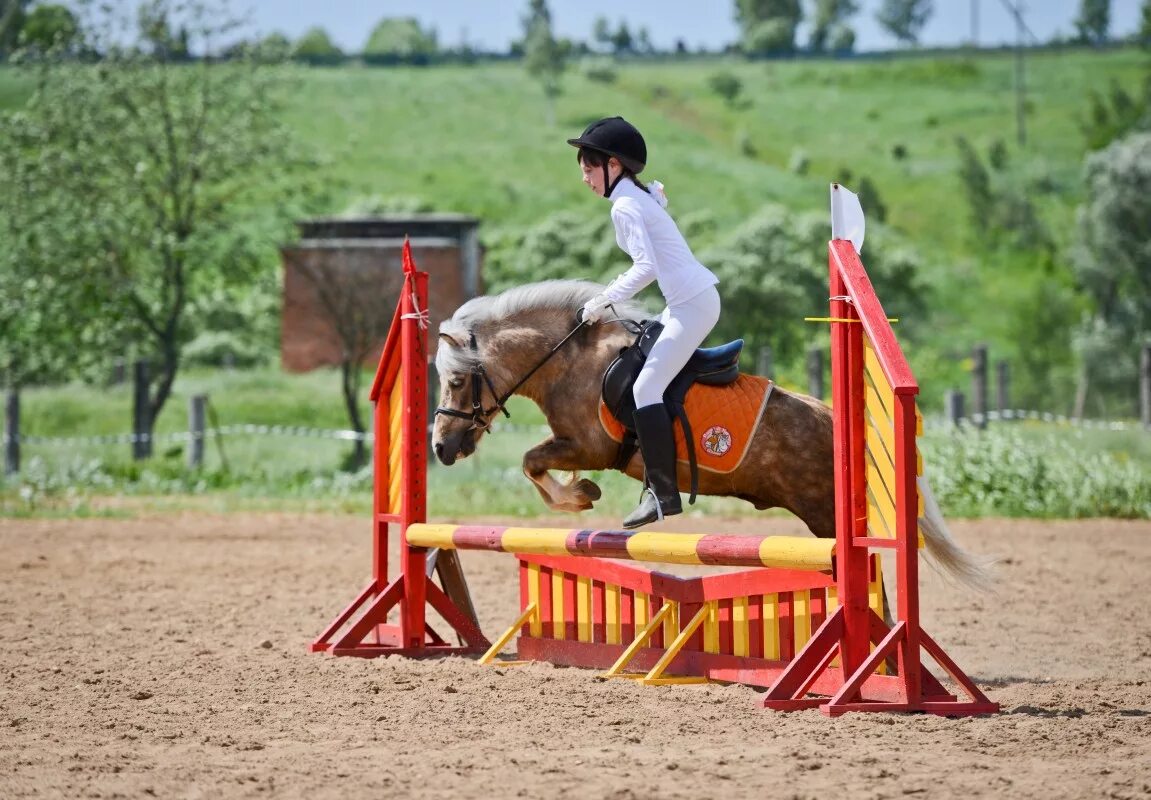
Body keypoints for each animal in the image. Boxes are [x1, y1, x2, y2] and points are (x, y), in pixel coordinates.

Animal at [432, 282, 989, 589]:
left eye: (456, 381)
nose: (440, 448)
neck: (568, 358)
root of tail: (839, 422)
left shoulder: (590, 445)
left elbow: (531, 461)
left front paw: (581, 495)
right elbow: (534, 463)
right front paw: (579, 493)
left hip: (826, 514)